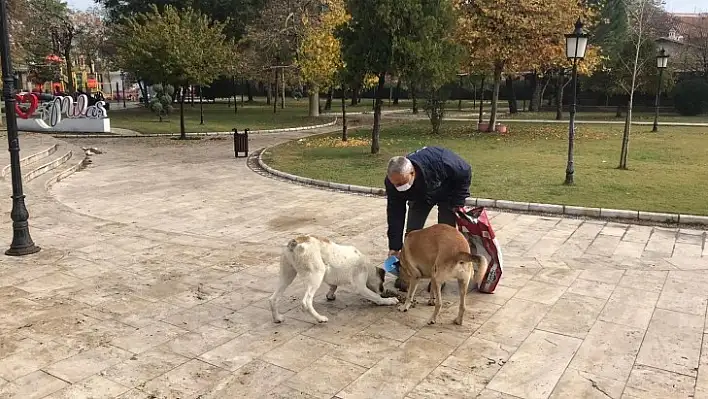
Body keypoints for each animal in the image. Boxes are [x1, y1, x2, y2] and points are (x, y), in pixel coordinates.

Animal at [268, 236, 398, 324]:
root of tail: (295, 242)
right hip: (316, 274)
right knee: (306, 301)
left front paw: (330, 295)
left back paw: (277, 318)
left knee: (273, 298)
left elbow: (333, 285)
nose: (383, 291)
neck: (367, 265)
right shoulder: (360, 287)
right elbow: (375, 297)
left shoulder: (329, 274)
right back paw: (320, 318)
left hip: (287, 275)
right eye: (382, 283)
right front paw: (388, 300)